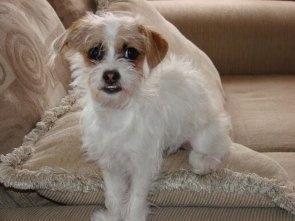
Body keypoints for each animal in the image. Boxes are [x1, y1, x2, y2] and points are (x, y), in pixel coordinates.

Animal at [52, 11, 234, 221]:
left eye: (130, 53)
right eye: (95, 52)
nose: (111, 75)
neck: (117, 113)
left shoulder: (142, 164)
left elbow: (135, 199)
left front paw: (132, 216)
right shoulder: (110, 164)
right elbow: (114, 196)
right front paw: (113, 216)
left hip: (204, 136)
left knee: (217, 149)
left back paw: (205, 163)